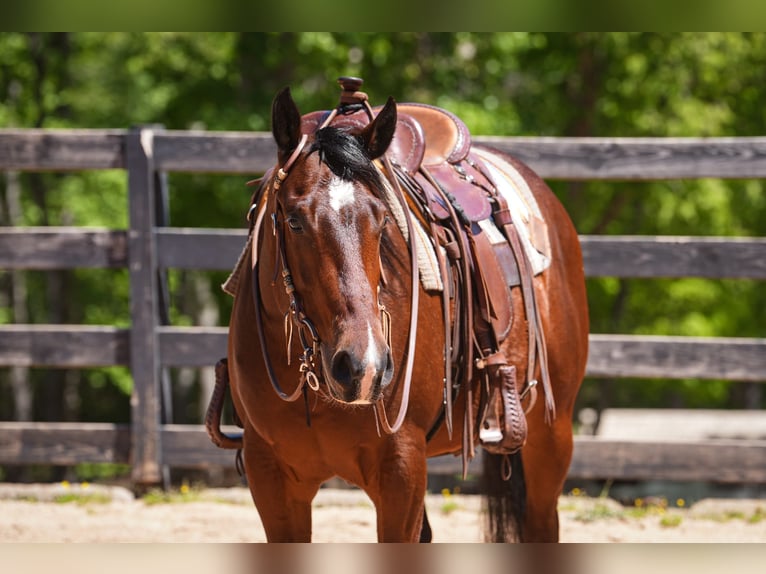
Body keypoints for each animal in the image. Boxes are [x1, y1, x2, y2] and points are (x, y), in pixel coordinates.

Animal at [206, 79, 589, 542]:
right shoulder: (270, 478)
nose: (363, 366)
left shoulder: (401, 470)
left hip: (552, 435)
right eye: (294, 221)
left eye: (383, 220)